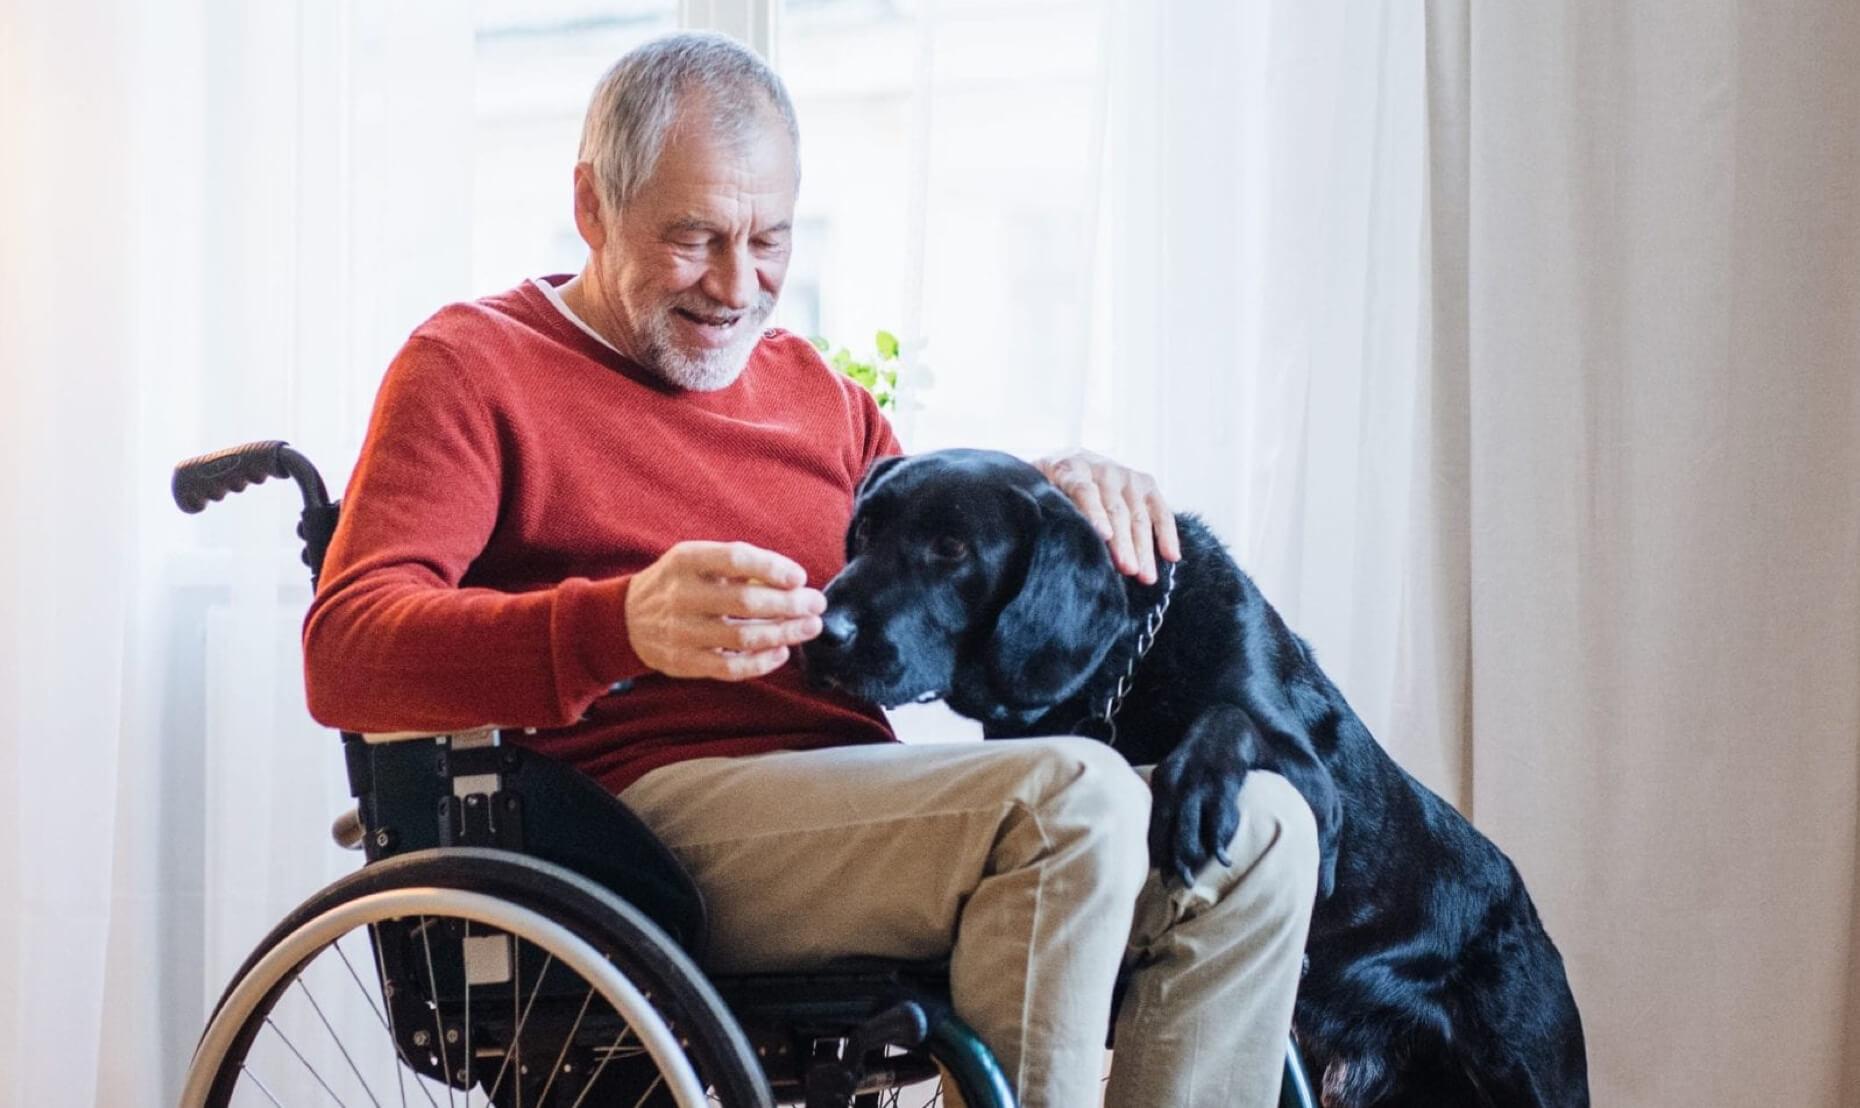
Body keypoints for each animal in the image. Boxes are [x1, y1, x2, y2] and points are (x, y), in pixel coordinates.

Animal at [807, 449, 1592, 1108]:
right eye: (864, 530)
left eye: (951, 549)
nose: (824, 633)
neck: (1120, 671)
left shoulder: (1315, 789)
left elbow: (1226, 716)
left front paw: (1193, 795)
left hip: (1530, 1075)